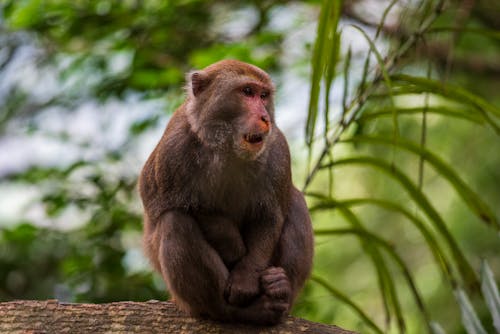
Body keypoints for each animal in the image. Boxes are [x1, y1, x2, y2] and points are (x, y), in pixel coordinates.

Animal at [140, 58, 312, 324]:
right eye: (247, 92)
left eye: (264, 95)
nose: (265, 117)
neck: (228, 149)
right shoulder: (173, 150)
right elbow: (160, 202)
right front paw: (232, 245)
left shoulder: (278, 150)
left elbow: (269, 216)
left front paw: (246, 276)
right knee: (174, 221)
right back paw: (237, 311)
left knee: (295, 200)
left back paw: (280, 290)